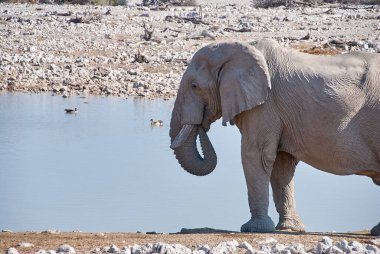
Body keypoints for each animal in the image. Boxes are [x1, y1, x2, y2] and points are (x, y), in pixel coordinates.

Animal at [170, 38, 380, 235]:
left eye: (194, 86)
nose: (202, 123)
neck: (240, 48)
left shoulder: (266, 104)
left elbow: (256, 155)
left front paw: (253, 229)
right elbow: (281, 163)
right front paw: (289, 229)